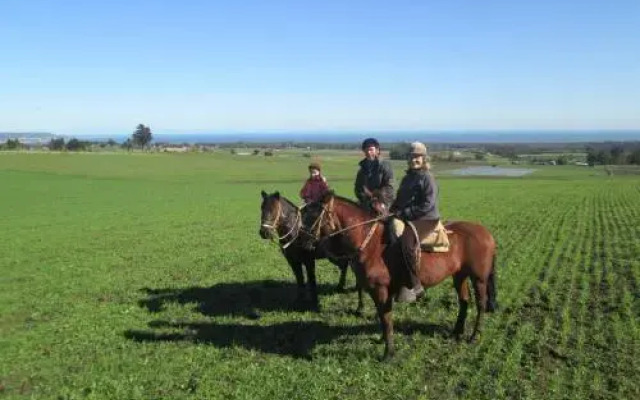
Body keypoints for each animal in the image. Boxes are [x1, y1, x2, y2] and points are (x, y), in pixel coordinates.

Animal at [302, 191, 498, 360]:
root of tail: (486, 232)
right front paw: (383, 340)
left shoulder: (380, 290)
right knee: (464, 301)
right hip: (459, 275)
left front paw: (388, 353)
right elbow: (382, 317)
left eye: (313, 216)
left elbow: (386, 319)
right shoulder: (377, 291)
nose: (303, 243)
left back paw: (474, 336)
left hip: (479, 278)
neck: (371, 244)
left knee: (481, 304)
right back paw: (457, 331)